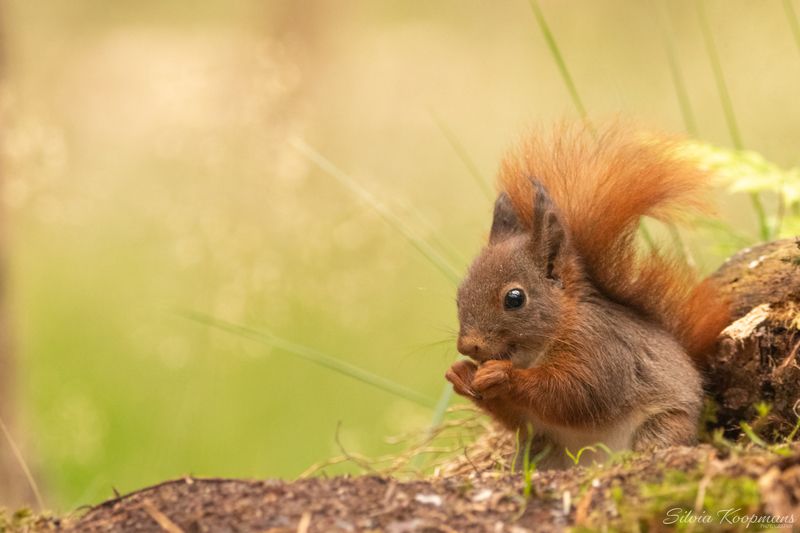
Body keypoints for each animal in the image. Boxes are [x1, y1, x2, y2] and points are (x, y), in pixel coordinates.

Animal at [445, 123, 731, 469]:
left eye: (514, 298)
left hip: (664, 424)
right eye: (459, 295)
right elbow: (518, 417)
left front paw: (504, 375)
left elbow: (577, 395)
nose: (467, 346)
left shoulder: (603, 350)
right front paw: (460, 374)